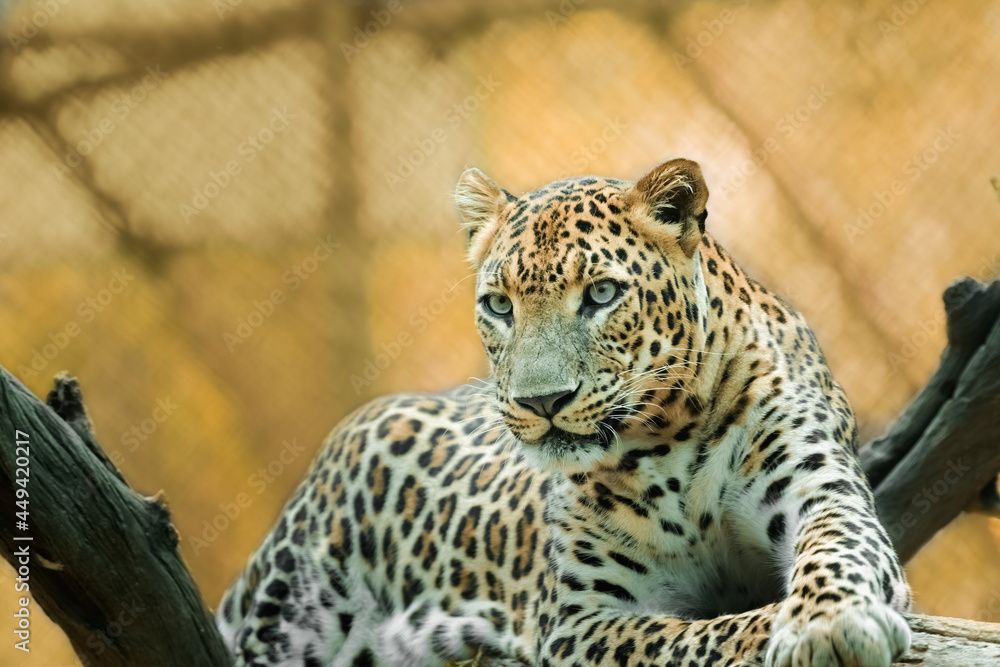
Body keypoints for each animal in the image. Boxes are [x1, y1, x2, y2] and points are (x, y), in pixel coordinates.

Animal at [217, 157, 912, 666]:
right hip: (294, 607)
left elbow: (837, 548)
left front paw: (828, 624)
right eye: (499, 305)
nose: (542, 402)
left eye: (601, 293)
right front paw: (776, 626)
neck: (670, 438)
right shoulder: (582, 621)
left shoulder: (820, 489)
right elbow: (690, 636)